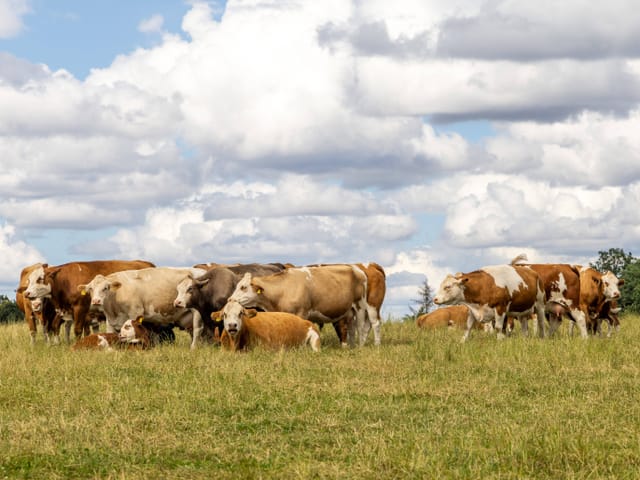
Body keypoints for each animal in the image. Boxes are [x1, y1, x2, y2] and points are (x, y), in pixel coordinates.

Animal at [22, 260, 155, 344]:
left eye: (40, 279)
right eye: (28, 280)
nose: (26, 293)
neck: (65, 281)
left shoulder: (80, 308)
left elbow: (77, 330)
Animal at [228, 264, 368, 346]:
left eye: (243, 287)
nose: (230, 299)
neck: (283, 289)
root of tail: (356, 269)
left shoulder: (302, 313)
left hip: (360, 306)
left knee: (361, 328)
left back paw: (360, 347)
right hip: (349, 311)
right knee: (351, 329)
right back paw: (350, 347)